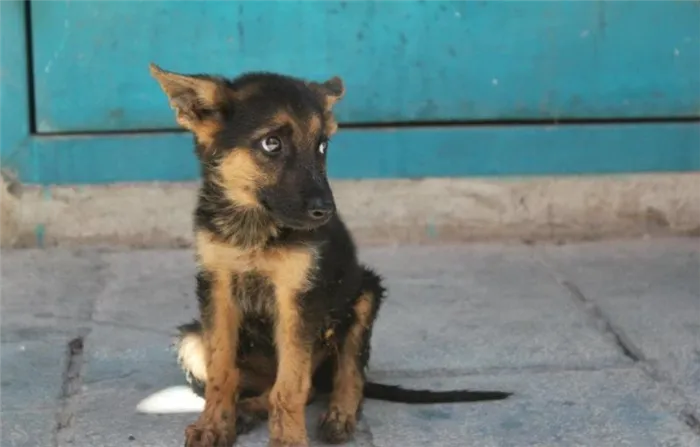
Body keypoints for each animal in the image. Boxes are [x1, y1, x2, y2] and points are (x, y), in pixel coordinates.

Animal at [150, 63, 512, 447]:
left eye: (322, 146)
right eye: (271, 143)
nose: (326, 211)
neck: (253, 224)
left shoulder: (298, 297)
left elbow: (291, 386)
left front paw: (289, 440)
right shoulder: (216, 287)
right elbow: (222, 371)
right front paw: (214, 425)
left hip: (364, 295)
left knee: (340, 375)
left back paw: (339, 414)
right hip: (192, 338)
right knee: (275, 384)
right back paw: (246, 410)